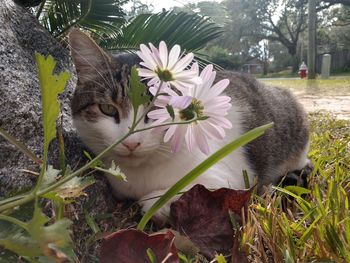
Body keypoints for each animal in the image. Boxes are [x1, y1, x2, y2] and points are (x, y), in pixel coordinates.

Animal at [67, 28, 308, 219]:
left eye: (158, 110)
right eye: (107, 109)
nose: (131, 143)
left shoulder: (230, 180)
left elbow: (176, 194)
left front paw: (154, 203)